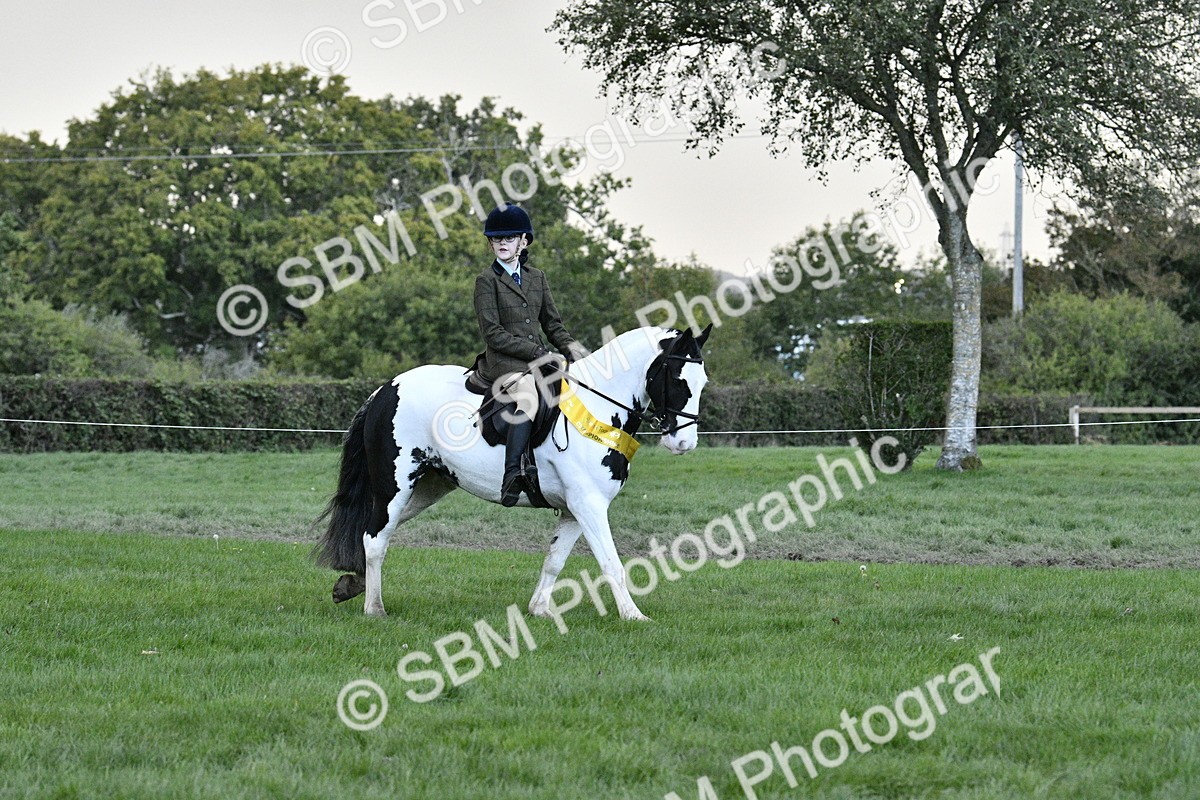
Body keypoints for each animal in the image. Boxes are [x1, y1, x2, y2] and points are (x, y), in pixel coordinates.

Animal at [314, 324, 712, 621]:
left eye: (703, 381)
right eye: (678, 379)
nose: (684, 442)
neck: (598, 407)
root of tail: (384, 390)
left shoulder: (574, 510)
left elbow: (554, 561)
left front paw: (539, 610)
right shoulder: (589, 505)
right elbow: (611, 563)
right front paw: (634, 616)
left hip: (428, 487)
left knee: (377, 531)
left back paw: (352, 585)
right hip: (395, 486)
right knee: (374, 538)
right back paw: (374, 608)